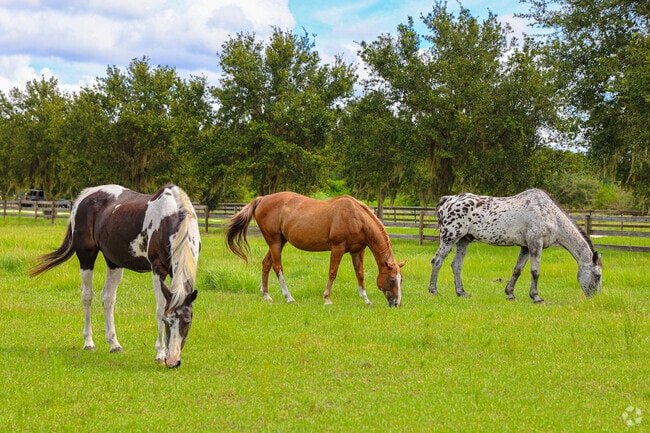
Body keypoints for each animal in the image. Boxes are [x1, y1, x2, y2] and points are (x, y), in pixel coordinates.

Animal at [29, 184, 200, 368]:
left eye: (188, 321)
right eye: (167, 321)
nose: (173, 361)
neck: (171, 217)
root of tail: (86, 195)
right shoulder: (157, 268)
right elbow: (160, 308)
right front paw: (160, 354)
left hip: (114, 262)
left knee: (108, 298)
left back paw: (114, 344)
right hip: (86, 257)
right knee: (87, 296)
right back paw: (89, 342)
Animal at [226, 192, 406, 307]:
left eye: (400, 280)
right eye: (391, 280)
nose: (397, 303)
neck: (356, 216)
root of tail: (262, 199)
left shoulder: (357, 251)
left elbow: (360, 275)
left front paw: (366, 300)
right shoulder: (338, 247)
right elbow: (333, 272)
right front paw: (327, 299)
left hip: (279, 242)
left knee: (266, 264)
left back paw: (266, 295)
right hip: (275, 241)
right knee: (277, 267)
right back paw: (289, 297)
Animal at [428, 188, 602, 303]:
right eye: (598, 275)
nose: (595, 297)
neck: (551, 216)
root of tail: (449, 200)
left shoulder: (525, 247)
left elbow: (517, 270)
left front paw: (510, 293)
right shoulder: (535, 244)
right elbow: (535, 272)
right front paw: (536, 296)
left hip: (463, 240)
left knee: (456, 265)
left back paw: (462, 292)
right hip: (450, 237)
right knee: (437, 261)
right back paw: (434, 291)